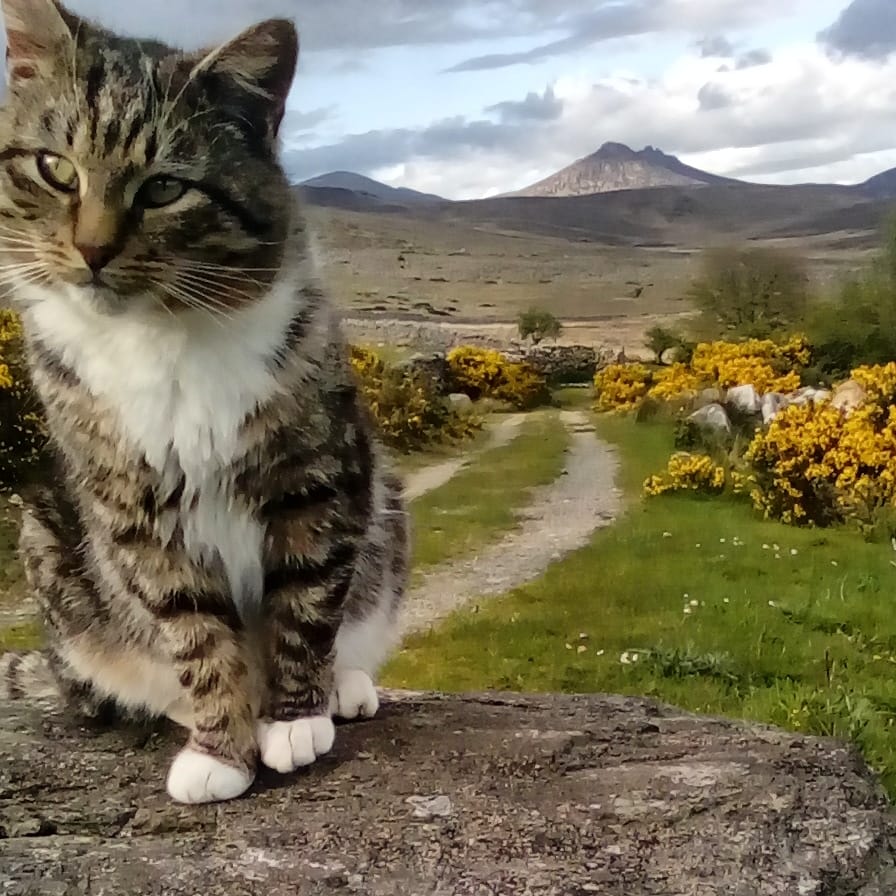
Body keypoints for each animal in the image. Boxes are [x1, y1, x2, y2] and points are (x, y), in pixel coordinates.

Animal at [0, 0, 410, 800]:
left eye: (164, 187)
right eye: (55, 168)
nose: (92, 252)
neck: (160, 336)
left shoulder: (319, 473)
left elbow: (308, 597)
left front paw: (294, 718)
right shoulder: (133, 506)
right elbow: (190, 624)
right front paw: (221, 748)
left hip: (389, 512)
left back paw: (344, 686)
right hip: (46, 543)